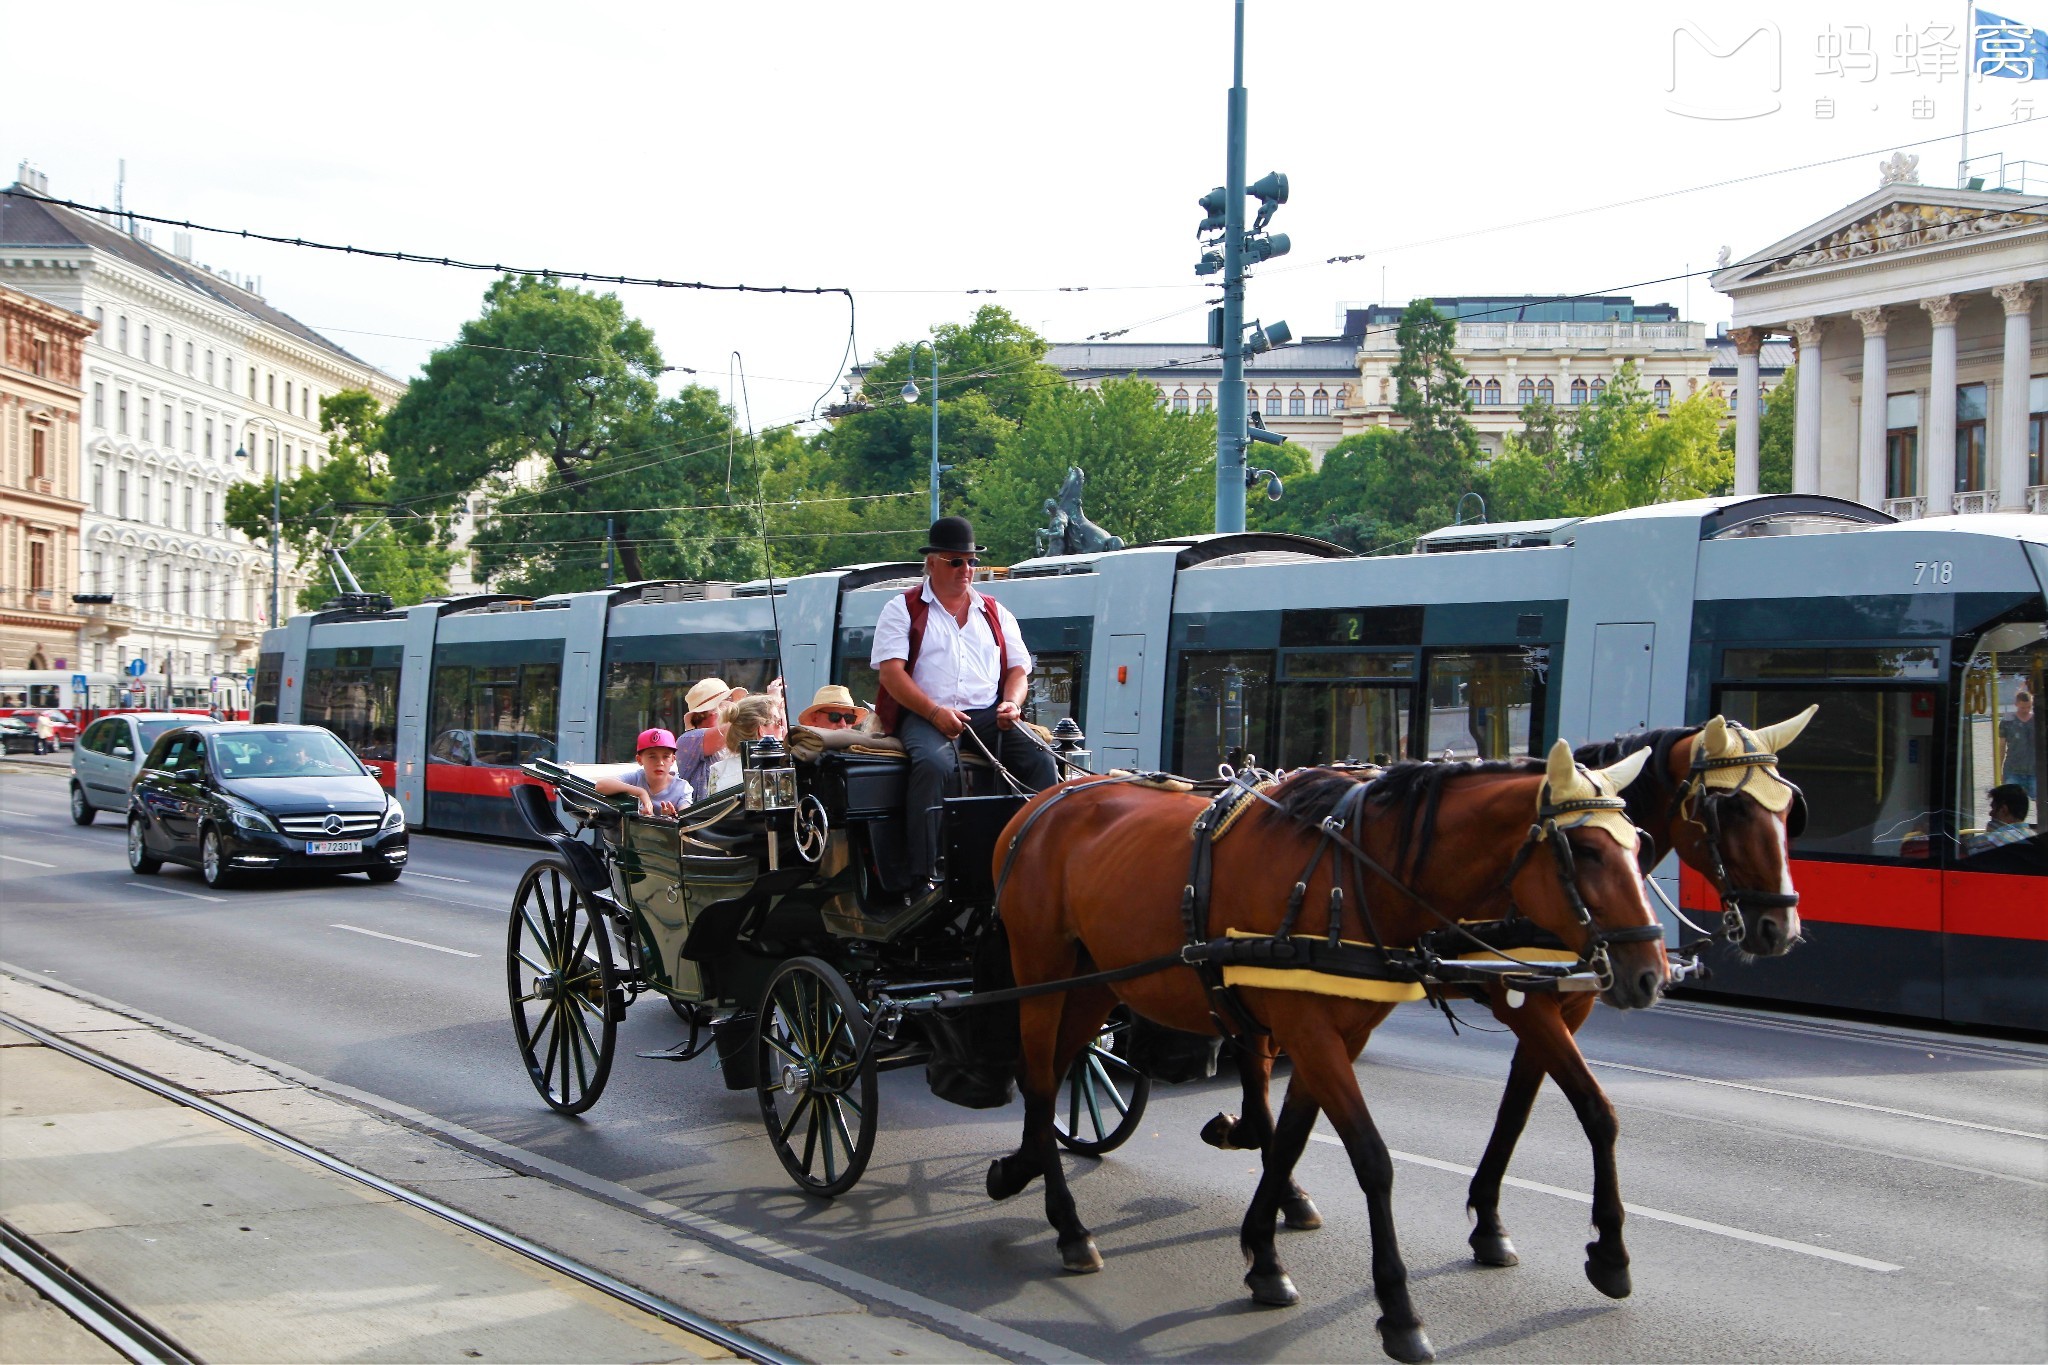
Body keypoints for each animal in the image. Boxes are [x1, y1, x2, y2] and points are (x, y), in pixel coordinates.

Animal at [991, 740, 1662, 1358]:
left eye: (1638, 844)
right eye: (1588, 851)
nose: (1652, 973)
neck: (1353, 873)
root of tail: (1047, 800)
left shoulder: (1340, 1030)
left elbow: (1290, 1135)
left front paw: (1265, 1254)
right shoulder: (1314, 1026)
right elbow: (1372, 1158)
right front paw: (1399, 1311)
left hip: (1095, 979)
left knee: (1053, 1069)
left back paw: (1023, 1167)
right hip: (1040, 966)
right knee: (1041, 1077)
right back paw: (1068, 1226)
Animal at [1204, 712, 1818, 1301]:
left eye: (1790, 809)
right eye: (1731, 807)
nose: (1779, 926)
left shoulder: (1560, 1008)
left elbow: (1517, 1110)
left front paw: (1490, 1222)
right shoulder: (1526, 1006)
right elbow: (1595, 1111)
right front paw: (1610, 1252)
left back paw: (1274, 1177)